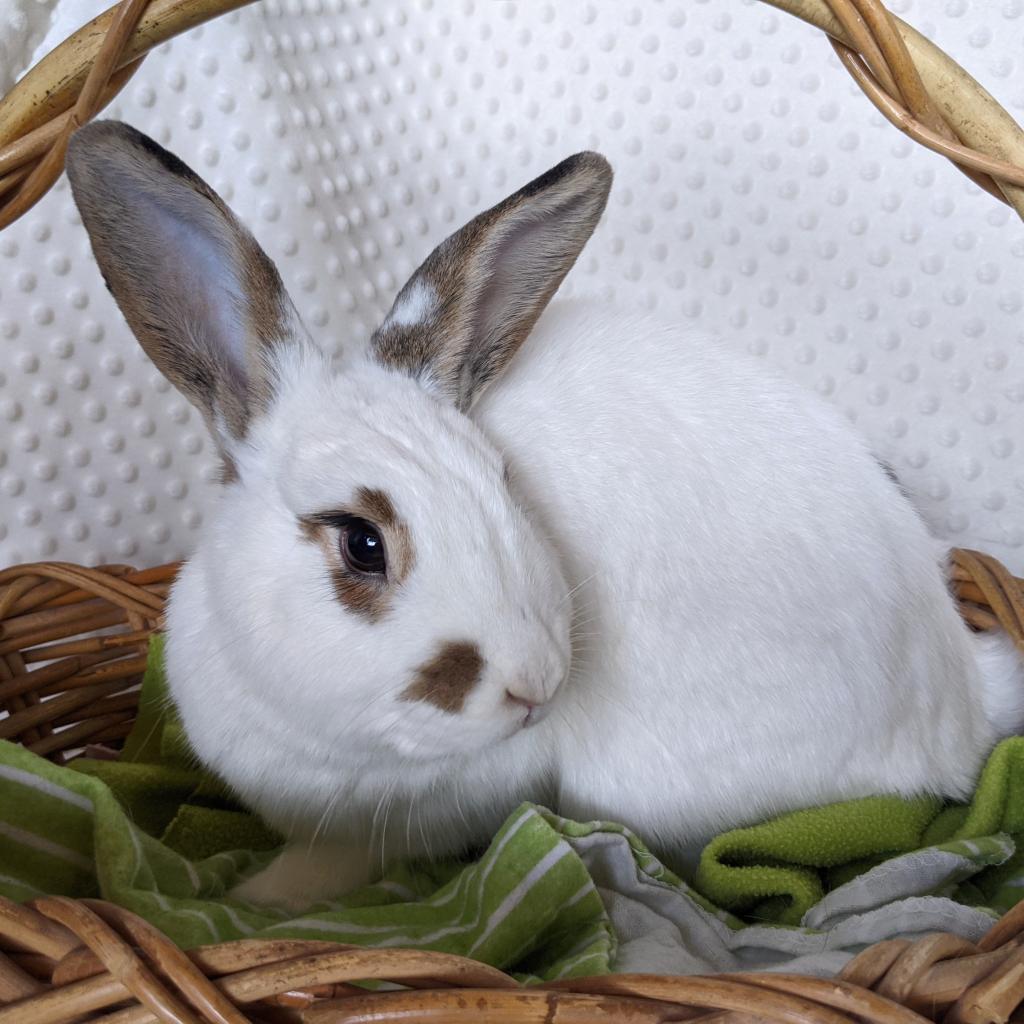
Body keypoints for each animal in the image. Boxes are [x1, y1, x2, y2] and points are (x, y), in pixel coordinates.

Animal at [65, 121, 1024, 912]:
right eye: (362, 542)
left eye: (503, 482)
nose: (535, 687)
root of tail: (964, 701)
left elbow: (335, 864)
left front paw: (262, 898)